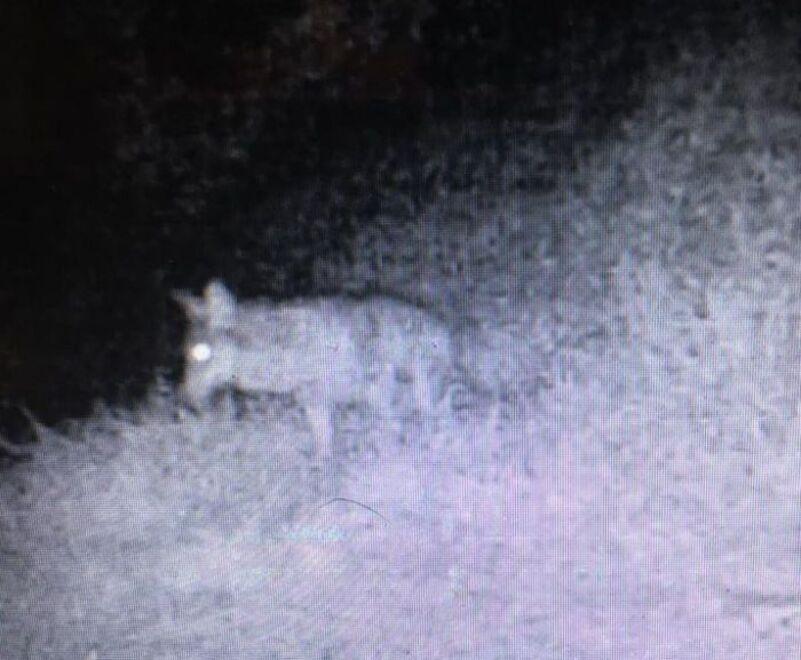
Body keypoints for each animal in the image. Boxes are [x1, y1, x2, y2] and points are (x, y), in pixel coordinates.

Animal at [174, 280, 466, 451]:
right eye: (185, 356)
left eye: (201, 354)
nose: (186, 399)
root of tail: (447, 331)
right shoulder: (315, 402)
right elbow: (324, 446)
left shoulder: (374, 390)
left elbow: (390, 433)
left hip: (425, 389)